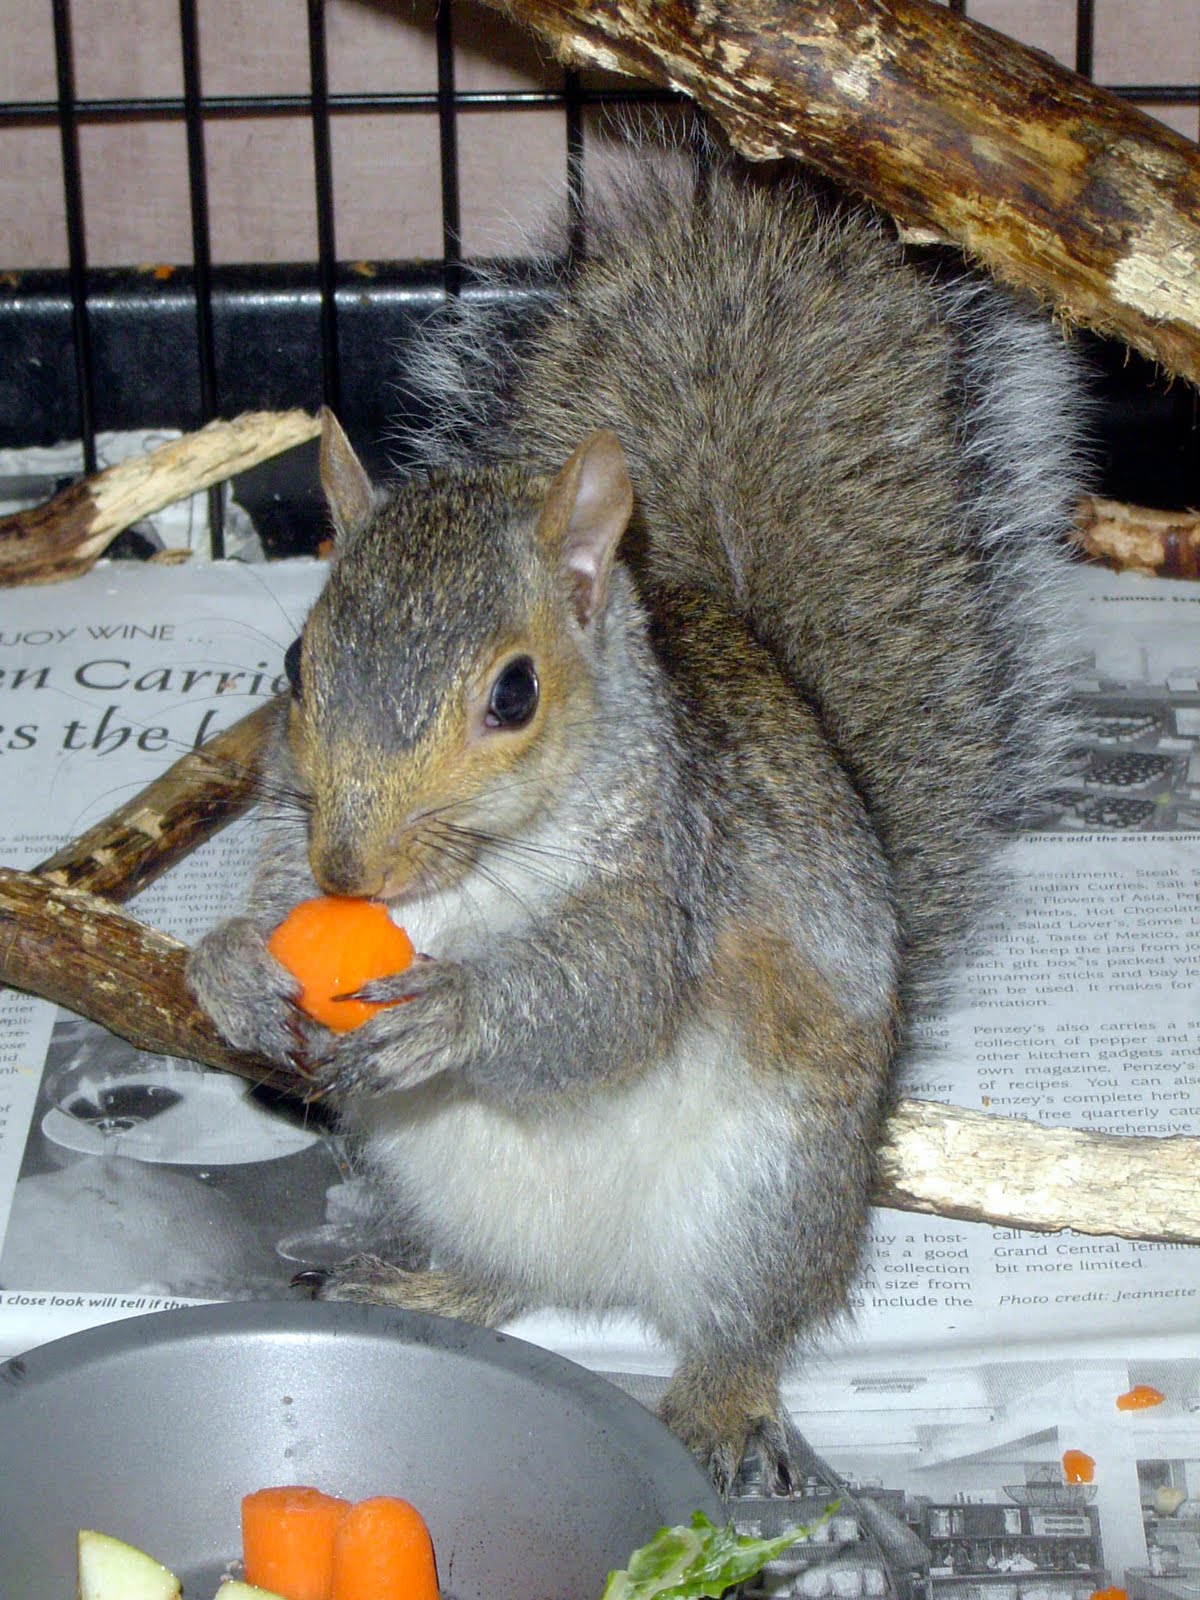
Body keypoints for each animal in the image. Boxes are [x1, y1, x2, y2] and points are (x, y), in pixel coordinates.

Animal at [187, 144, 1085, 1493]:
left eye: (515, 692)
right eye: (297, 662)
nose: (349, 866)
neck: (464, 885)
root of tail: (603, 1279)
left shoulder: (679, 875)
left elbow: (609, 1000)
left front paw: (460, 1012)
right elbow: (258, 901)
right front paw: (232, 967)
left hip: (766, 1195)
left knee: (744, 1324)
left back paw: (721, 1406)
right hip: (449, 1182)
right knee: (505, 1280)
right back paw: (424, 1288)